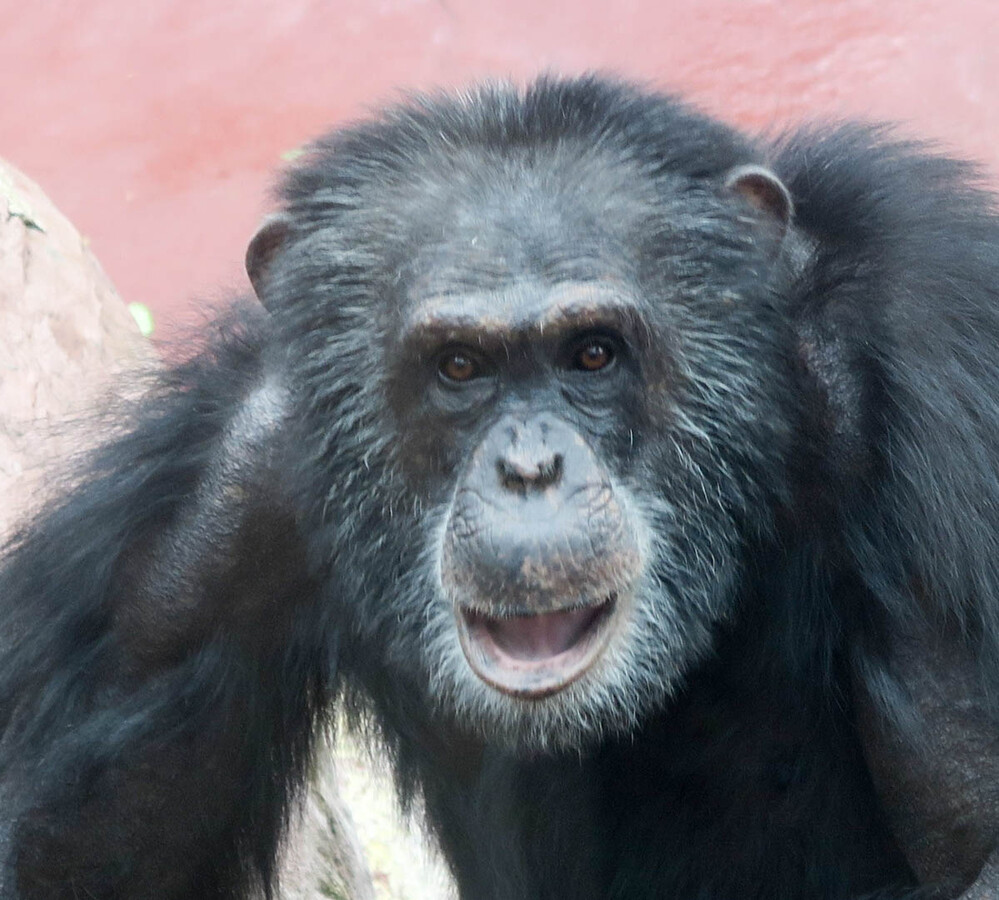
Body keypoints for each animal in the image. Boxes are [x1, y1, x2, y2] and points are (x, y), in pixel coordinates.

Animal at [1, 77, 999, 900]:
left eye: (592, 353)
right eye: (458, 366)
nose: (528, 470)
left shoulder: (936, 356)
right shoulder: (235, 477)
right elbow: (58, 846)